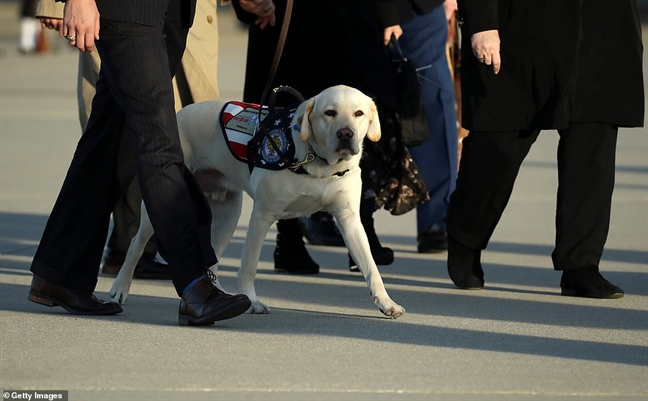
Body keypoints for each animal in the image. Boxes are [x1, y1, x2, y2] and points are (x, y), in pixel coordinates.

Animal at [111, 84, 404, 318]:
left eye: (359, 114)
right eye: (330, 113)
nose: (345, 134)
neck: (318, 164)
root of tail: (180, 113)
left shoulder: (349, 219)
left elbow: (371, 267)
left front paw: (386, 302)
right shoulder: (262, 215)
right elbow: (249, 266)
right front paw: (252, 301)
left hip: (228, 216)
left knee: (212, 259)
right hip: (160, 205)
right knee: (136, 244)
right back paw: (119, 288)